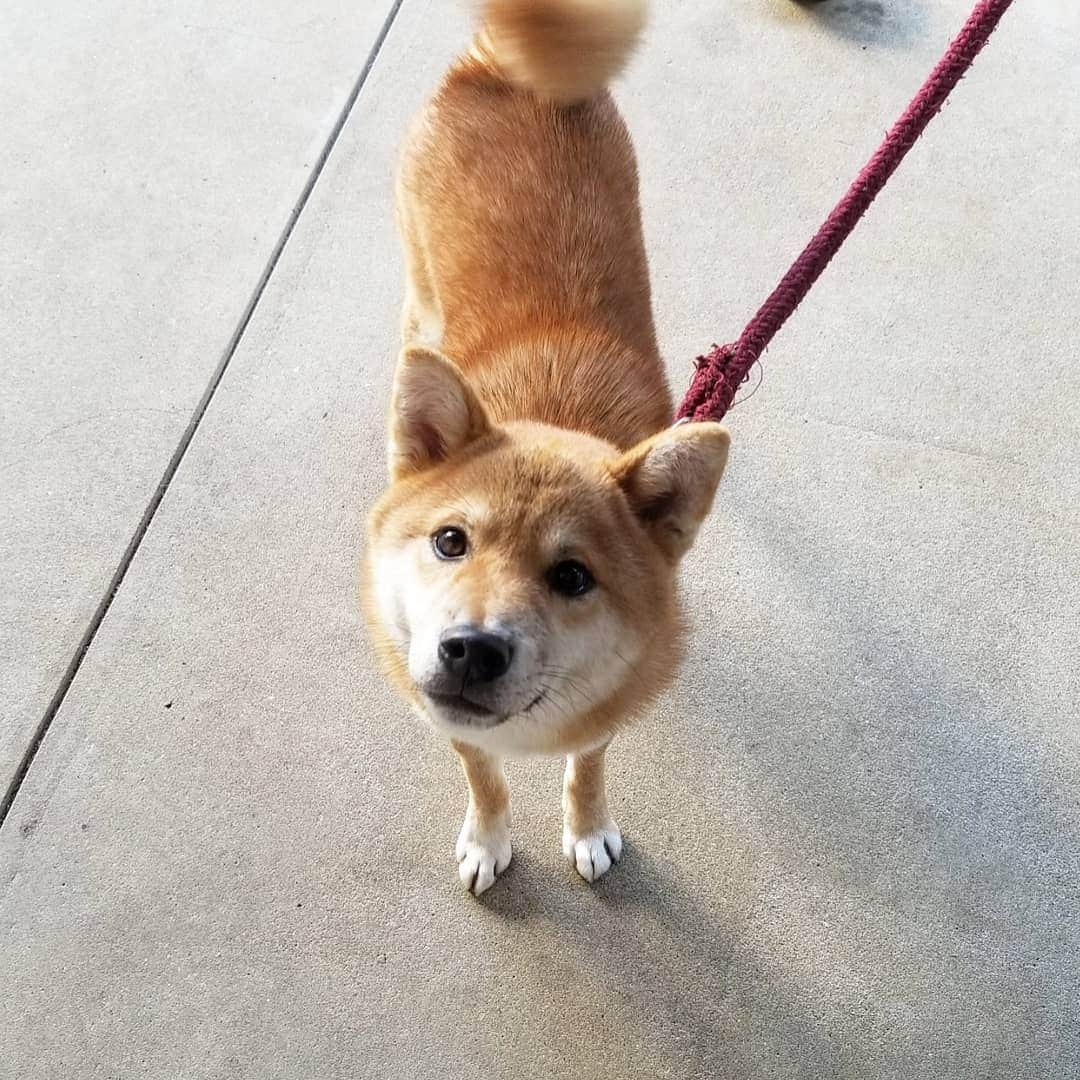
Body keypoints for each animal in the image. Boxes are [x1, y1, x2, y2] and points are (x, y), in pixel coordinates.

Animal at [367, 0, 730, 894]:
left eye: (573, 577)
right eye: (450, 541)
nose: (471, 650)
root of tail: (499, 69)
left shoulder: (606, 714)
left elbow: (586, 769)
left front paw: (588, 829)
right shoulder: (453, 723)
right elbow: (484, 778)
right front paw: (489, 839)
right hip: (418, 281)